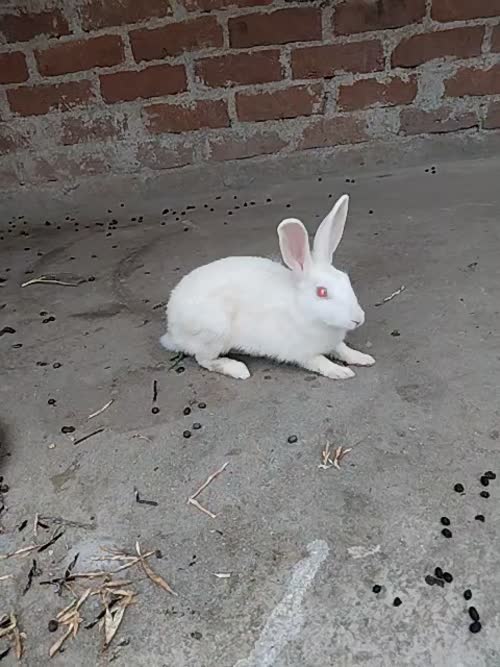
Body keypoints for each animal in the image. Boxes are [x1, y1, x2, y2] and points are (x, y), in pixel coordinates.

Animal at [160, 194, 375, 380]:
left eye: (346, 279)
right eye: (322, 292)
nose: (358, 319)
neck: (304, 311)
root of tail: (172, 329)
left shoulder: (335, 344)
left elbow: (344, 350)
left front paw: (364, 358)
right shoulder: (302, 353)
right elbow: (320, 361)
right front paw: (341, 372)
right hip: (214, 332)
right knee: (204, 359)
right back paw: (237, 369)